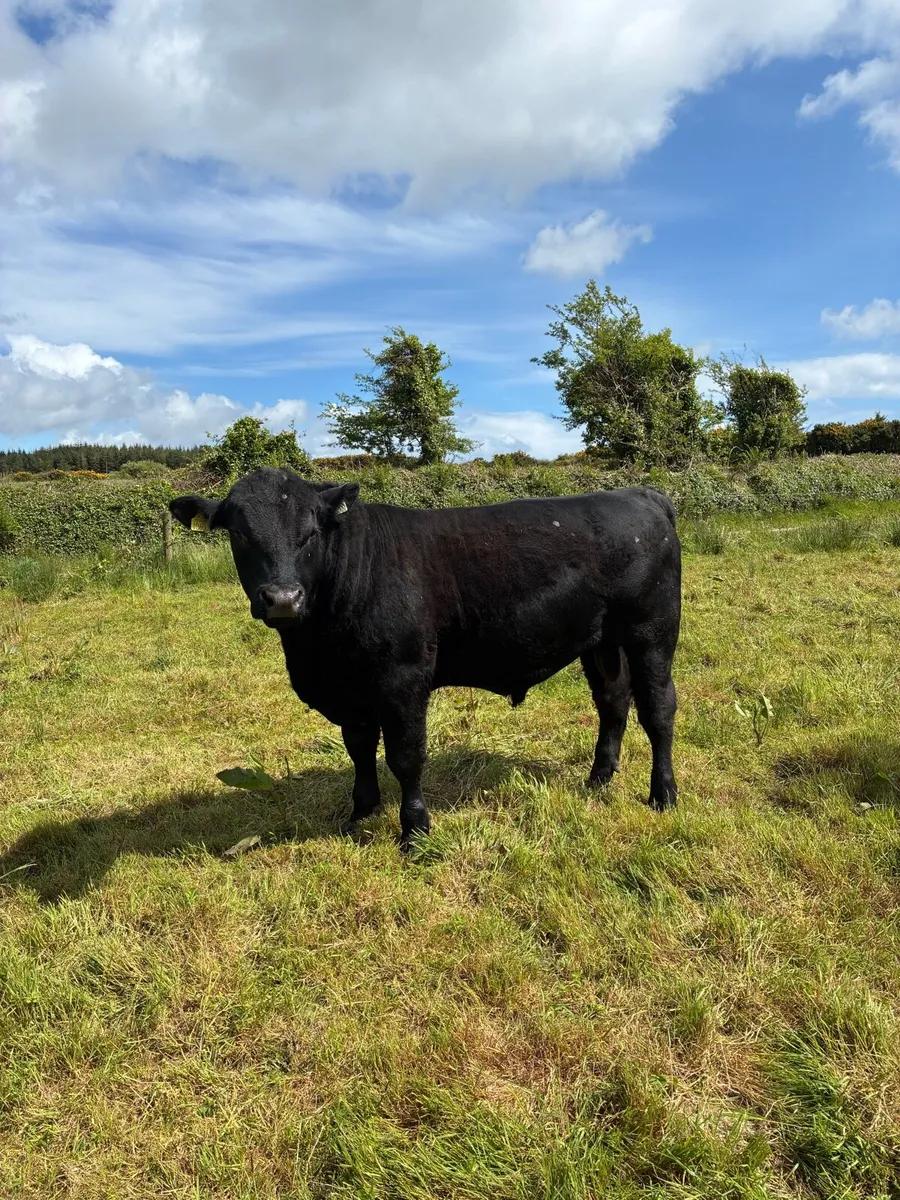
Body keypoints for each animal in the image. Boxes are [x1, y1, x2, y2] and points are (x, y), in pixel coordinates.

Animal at [170, 470, 681, 846]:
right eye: (239, 533)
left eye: (310, 533)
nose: (282, 599)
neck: (318, 648)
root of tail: (641, 493)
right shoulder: (350, 691)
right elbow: (359, 749)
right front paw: (361, 812)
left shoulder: (403, 679)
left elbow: (406, 756)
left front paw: (414, 831)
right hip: (601, 642)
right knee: (613, 702)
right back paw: (598, 779)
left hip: (653, 630)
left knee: (658, 709)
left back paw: (663, 794)